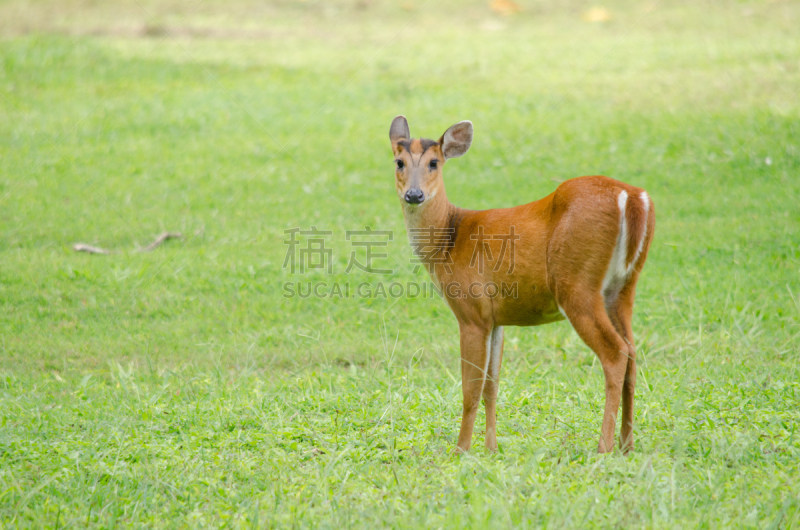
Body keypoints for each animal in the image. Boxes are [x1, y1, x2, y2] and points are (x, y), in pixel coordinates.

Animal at [390, 116, 656, 454]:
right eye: (399, 162)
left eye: (434, 163)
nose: (414, 194)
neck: (449, 239)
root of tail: (633, 197)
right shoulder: (496, 318)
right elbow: (491, 385)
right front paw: (491, 448)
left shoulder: (471, 310)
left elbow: (470, 388)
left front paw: (462, 450)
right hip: (624, 287)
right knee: (632, 352)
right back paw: (627, 444)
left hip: (577, 285)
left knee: (616, 353)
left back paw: (603, 447)